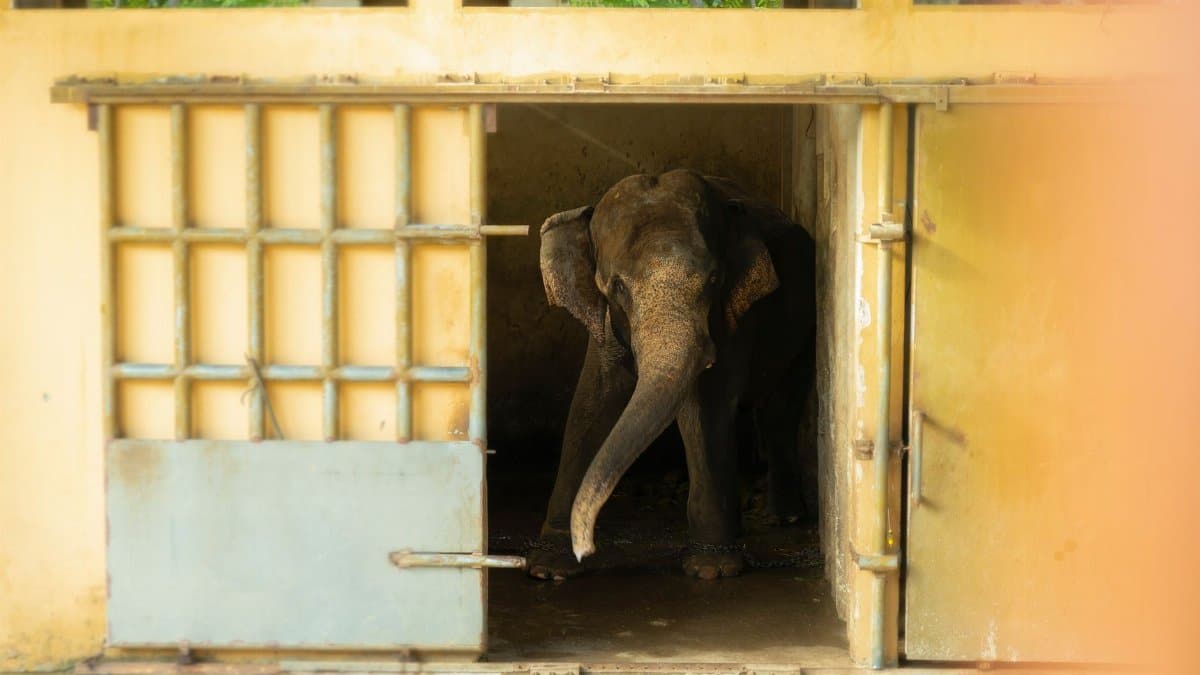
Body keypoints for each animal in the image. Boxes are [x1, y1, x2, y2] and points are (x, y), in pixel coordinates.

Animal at [530, 169, 816, 581]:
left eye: (713, 280)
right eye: (616, 286)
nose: (587, 547)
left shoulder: (733, 316)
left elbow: (705, 406)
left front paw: (711, 569)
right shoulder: (604, 323)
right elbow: (591, 402)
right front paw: (548, 568)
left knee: (780, 409)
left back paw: (783, 518)